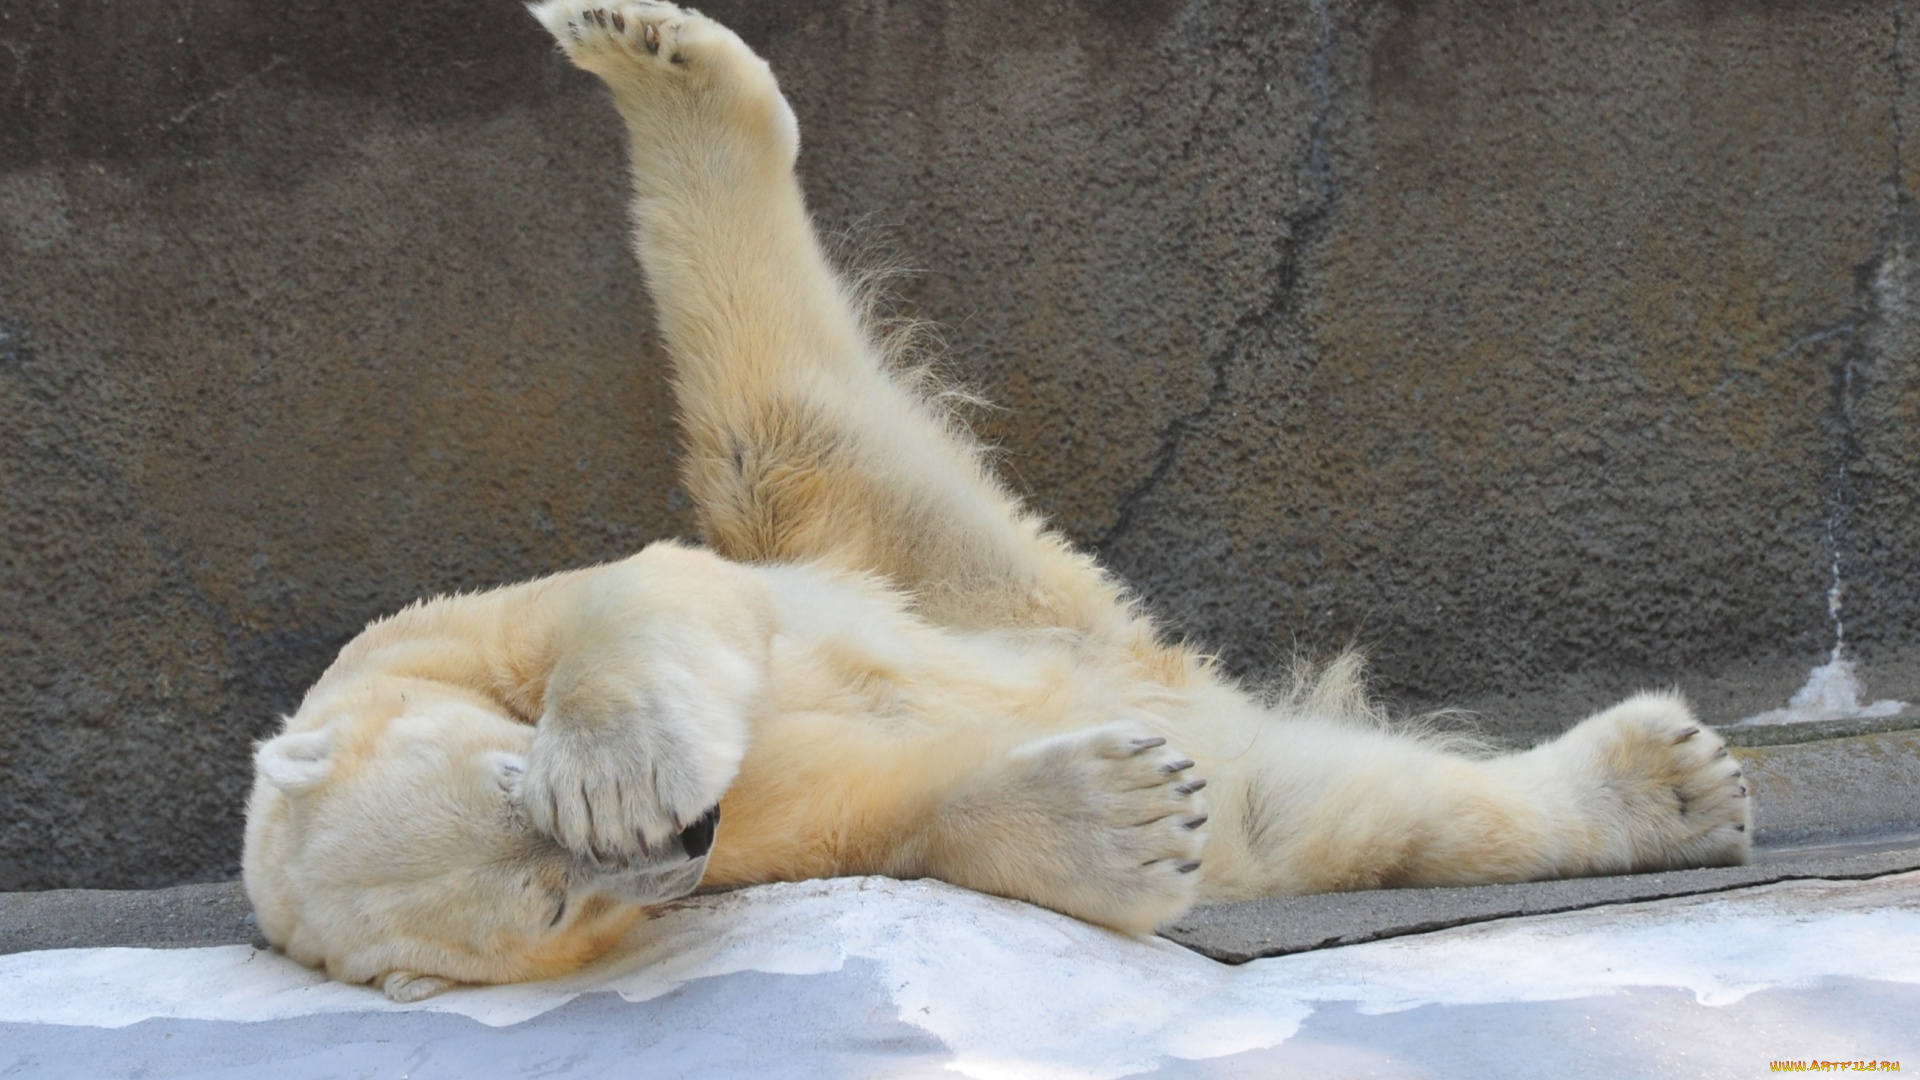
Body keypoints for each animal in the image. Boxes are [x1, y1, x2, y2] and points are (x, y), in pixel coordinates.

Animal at [242, 0, 1752, 1004]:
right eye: (550, 902)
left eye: (523, 794)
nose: (678, 835)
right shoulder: (751, 852)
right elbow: (883, 803)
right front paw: (1123, 819)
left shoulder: (438, 628)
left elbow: (650, 590)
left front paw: (617, 764)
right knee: (1327, 811)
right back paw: (1659, 789)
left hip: (899, 546)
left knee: (770, 415)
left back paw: (649, 56)